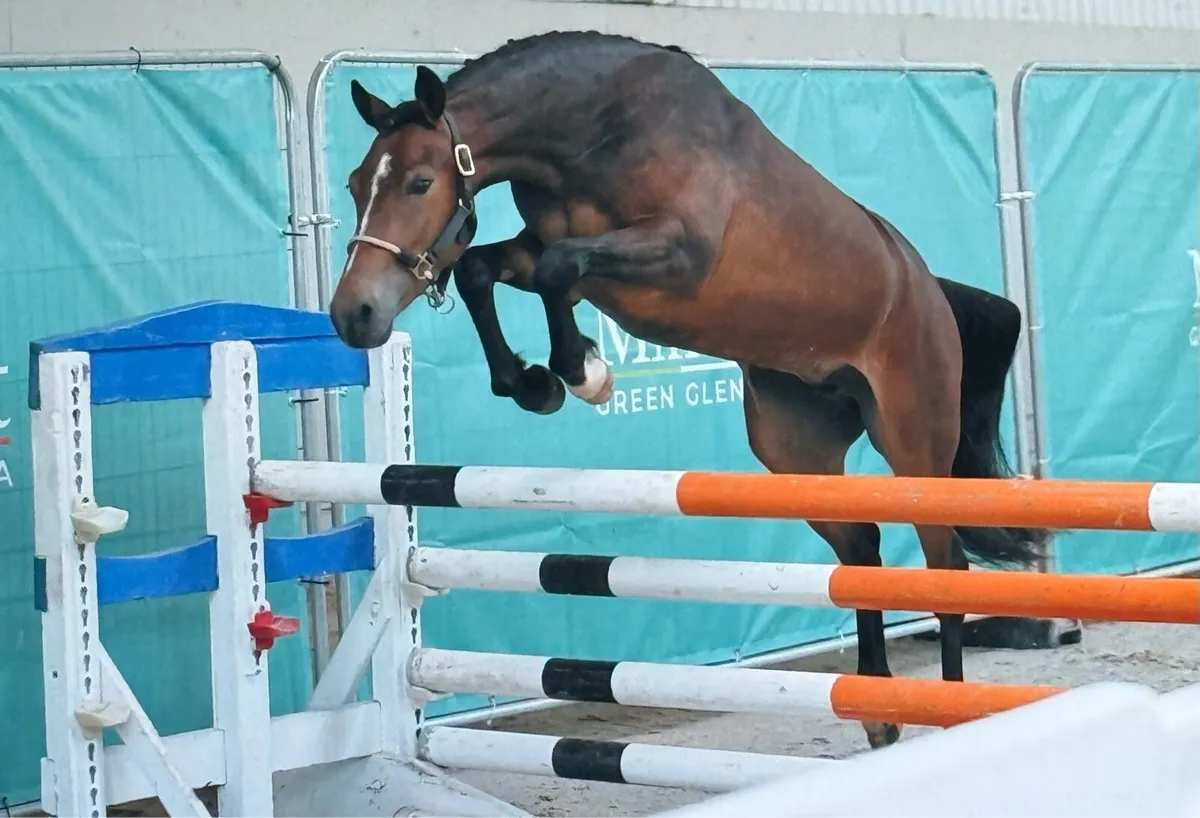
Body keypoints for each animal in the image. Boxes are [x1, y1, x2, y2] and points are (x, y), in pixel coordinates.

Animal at [328, 30, 1050, 749]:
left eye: (421, 183)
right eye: (357, 183)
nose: (353, 315)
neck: (598, 133)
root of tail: (930, 292)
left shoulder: (674, 254)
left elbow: (561, 269)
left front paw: (583, 373)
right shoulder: (548, 248)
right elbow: (487, 267)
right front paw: (537, 384)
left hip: (914, 444)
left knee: (945, 568)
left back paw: (945, 708)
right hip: (796, 451)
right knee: (861, 549)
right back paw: (878, 710)